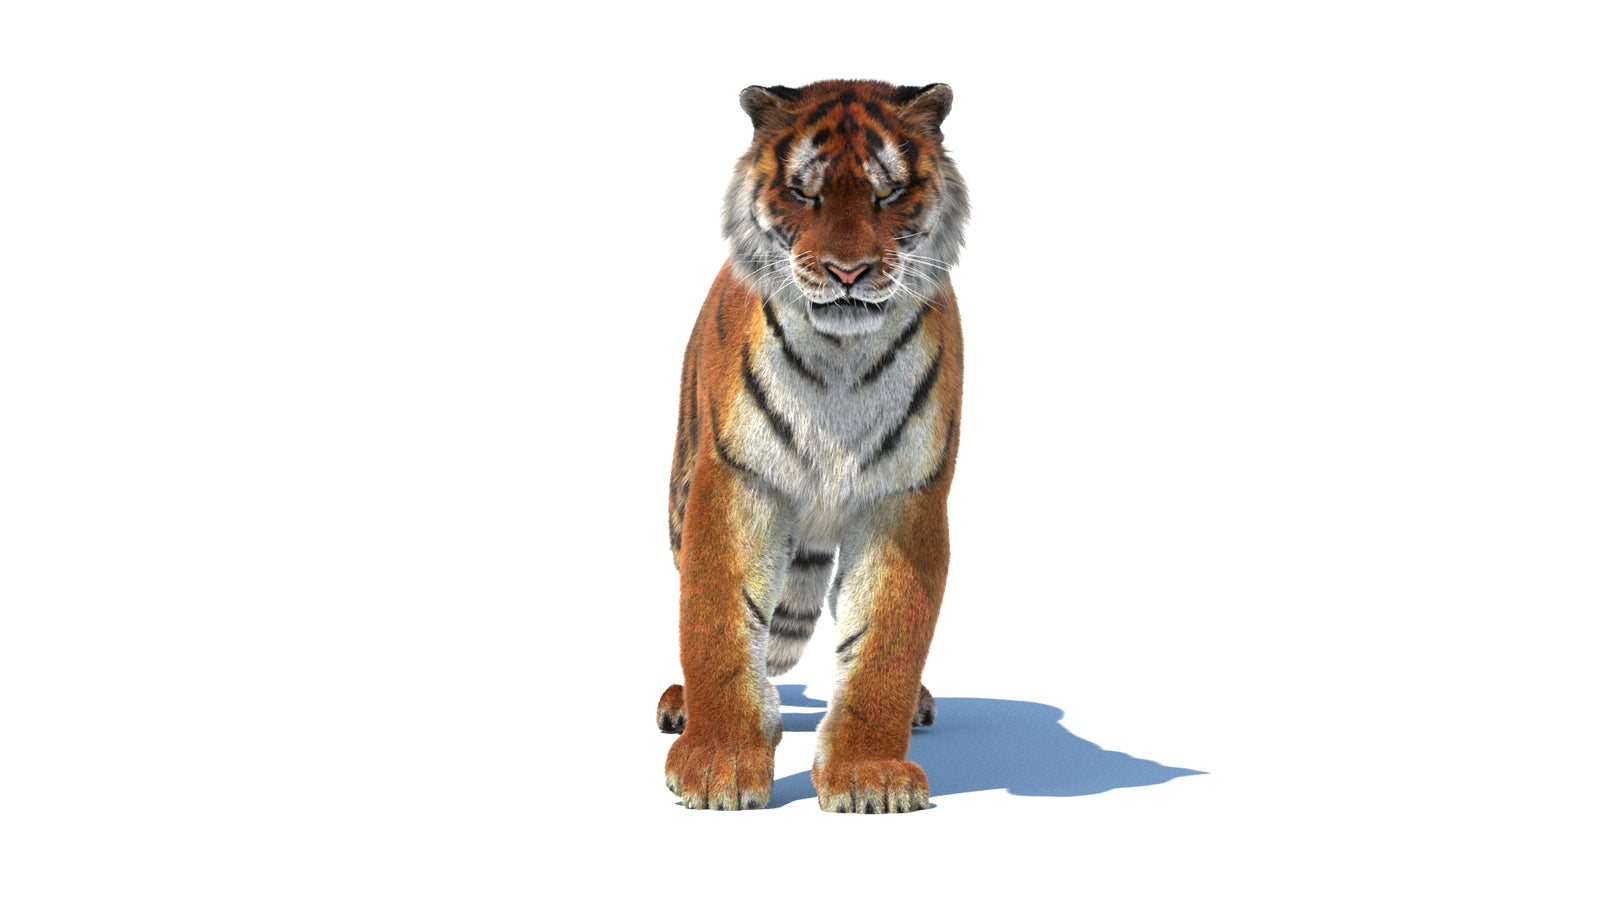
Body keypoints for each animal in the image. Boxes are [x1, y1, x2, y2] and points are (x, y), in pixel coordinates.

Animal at [656, 79, 969, 813]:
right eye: (805, 194)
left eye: (888, 194)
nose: (847, 271)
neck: (840, 359)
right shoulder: (736, 483)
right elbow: (714, 621)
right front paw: (717, 765)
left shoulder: (903, 499)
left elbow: (884, 641)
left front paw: (869, 776)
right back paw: (680, 704)